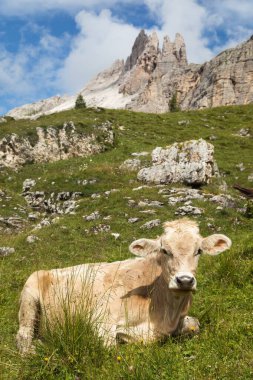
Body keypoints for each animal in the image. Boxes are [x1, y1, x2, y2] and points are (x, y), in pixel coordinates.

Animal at [16, 218, 232, 354]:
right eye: (164, 250)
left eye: (199, 251)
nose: (185, 280)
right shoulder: (100, 320)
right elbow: (111, 348)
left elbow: (195, 324)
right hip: (29, 299)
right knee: (23, 338)